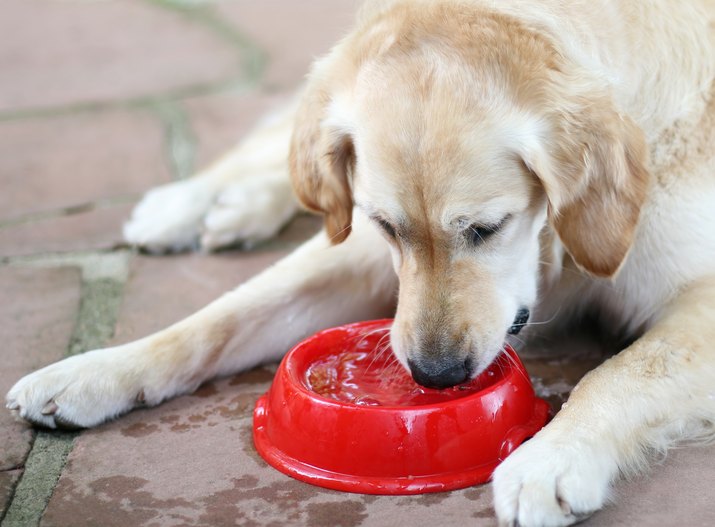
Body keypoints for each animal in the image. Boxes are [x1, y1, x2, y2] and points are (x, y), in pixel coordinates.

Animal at [7, 0, 715, 524]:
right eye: (386, 225)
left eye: (487, 229)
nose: (435, 375)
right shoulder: (360, 249)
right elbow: (216, 319)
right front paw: (93, 372)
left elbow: (618, 374)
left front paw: (551, 459)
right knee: (291, 144)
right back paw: (192, 203)